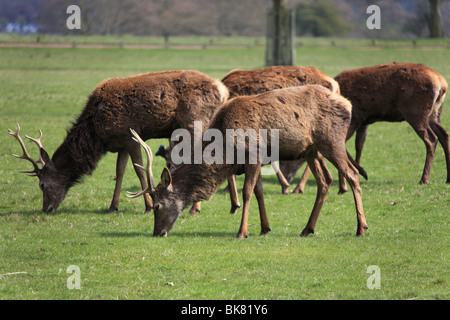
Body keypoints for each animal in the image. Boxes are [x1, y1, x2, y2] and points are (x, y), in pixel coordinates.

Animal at [7, 71, 229, 214]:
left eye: (42, 184)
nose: (46, 209)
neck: (96, 135)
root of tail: (224, 90)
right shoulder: (121, 143)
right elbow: (119, 171)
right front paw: (113, 206)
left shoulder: (131, 136)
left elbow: (139, 171)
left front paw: (148, 205)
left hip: (195, 122)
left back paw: (195, 207)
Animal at [128, 84, 368, 238]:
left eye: (157, 206)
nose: (157, 233)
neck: (226, 151)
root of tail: (347, 103)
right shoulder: (257, 160)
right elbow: (259, 192)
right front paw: (264, 228)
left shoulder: (253, 155)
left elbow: (247, 192)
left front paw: (242, 232)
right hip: (310, 149)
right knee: (324, 181)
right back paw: (307, 229)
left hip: (331, 140)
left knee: (353, 174)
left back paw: (361, 228)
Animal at [284, 62, 448, 192]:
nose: (287, 178)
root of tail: (442, 84)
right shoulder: (364, 122)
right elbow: (359, 146)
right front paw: (353, 176)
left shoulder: (355, 118)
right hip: (435, 113)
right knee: (444, 134)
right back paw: (447, 178)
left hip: (416, 112)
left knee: (431, 139)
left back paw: (424, 178)